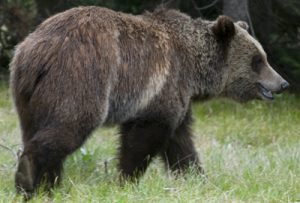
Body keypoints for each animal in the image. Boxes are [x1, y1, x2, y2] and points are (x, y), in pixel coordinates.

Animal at [10, 5, 290, 197]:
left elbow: (181, 144)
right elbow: (144, 140)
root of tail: (36, 50)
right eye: (258, 60)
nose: (283, 83)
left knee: (36, 130)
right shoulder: (160, 88)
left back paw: (48, 187)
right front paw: (126, 180)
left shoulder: (176, 97)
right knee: (67, 127)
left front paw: (197, 179)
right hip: (81, 77)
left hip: (29, 95)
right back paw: (27, 179)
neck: (194, 69)